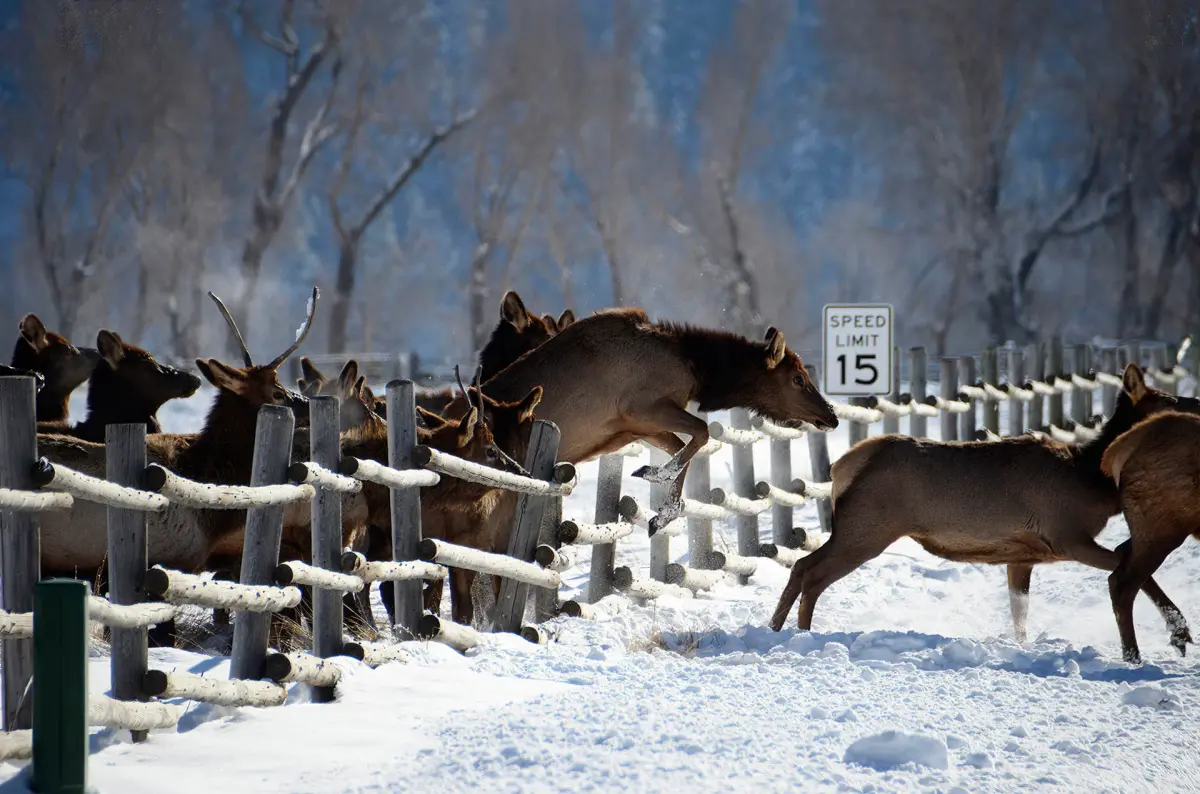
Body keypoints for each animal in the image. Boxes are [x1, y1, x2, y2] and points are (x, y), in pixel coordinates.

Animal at [441, 311, 835, 534]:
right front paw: (656, 476)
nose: (829, 415)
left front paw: (660, 510)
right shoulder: (641, 407)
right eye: (798, 378)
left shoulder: (634, 427)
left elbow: (682, 449)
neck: (698, 368)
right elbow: (701, 434)